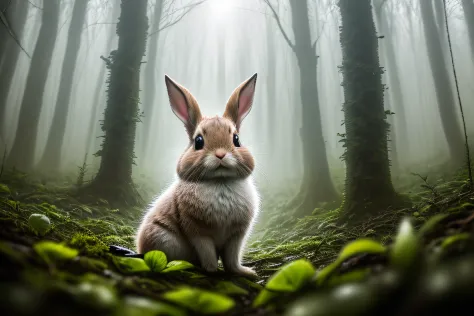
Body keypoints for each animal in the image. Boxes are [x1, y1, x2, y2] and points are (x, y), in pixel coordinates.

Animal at [135, 73, 262, 278]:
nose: (220, 154)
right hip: (163, 238)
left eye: (236, 139)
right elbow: (208, 254)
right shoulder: (198, 232)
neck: (219, 181)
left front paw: (246, 273)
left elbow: (232, 259)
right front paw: (211, 271)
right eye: (199, 141)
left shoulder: (236, 236)